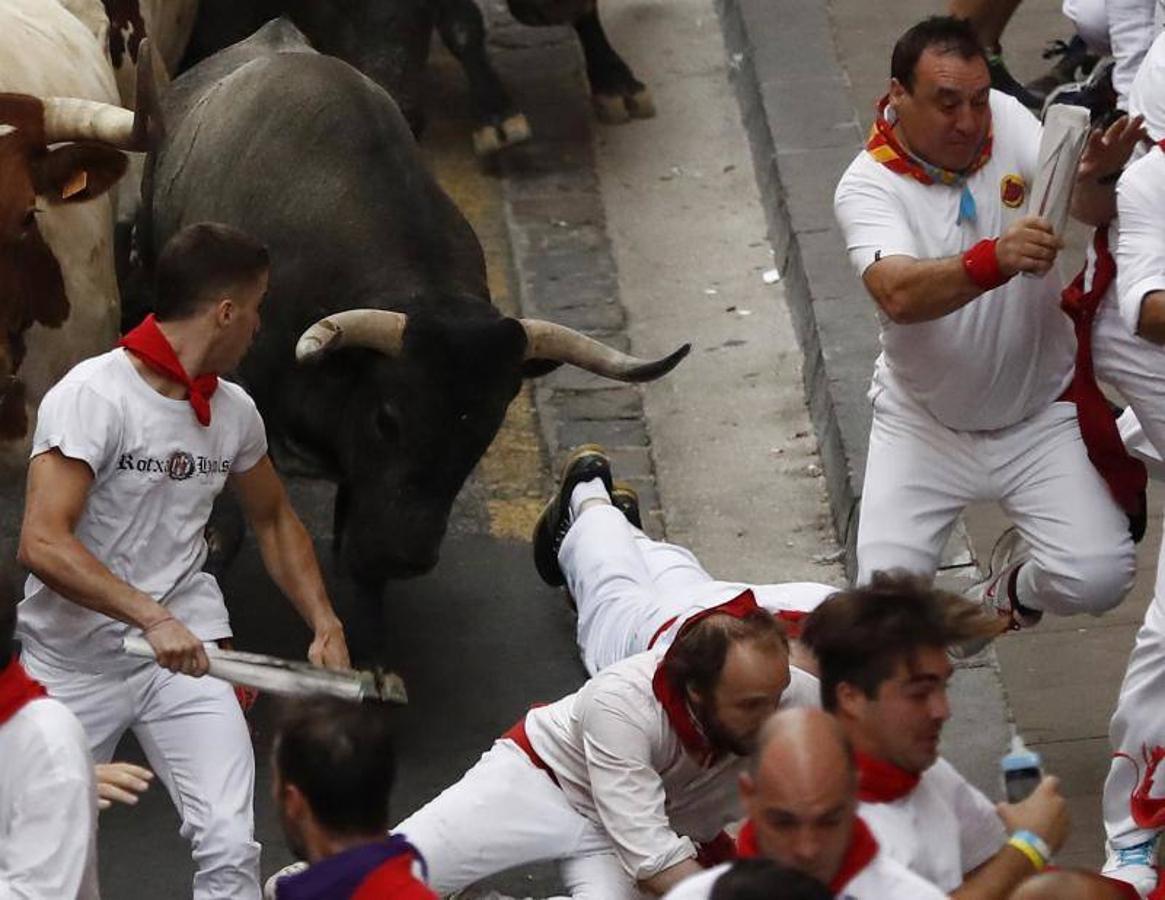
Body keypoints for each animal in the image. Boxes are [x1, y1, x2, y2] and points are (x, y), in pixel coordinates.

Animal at [138, 17, 680, 633]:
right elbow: (223, 533)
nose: (407, 556)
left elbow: (355, 551)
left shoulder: (365, 491)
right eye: (387, 418)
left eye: (484, 429)